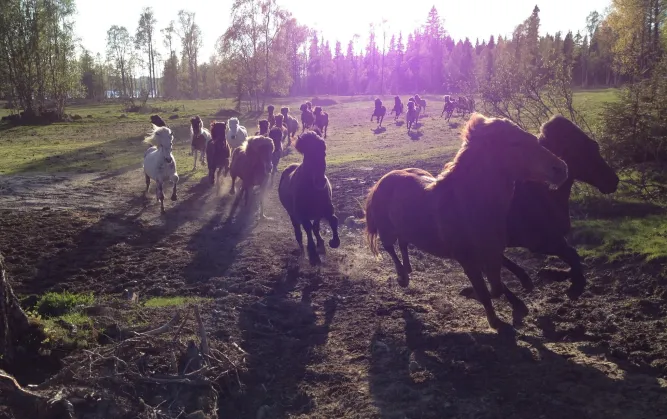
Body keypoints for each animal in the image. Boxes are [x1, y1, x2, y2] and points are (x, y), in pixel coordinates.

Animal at [279, 130, 340, 265]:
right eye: (308, 156)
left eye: (324, 153)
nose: (320, 182)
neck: (312, 190)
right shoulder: (302, 214)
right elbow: (307, 228)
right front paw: (312, 252)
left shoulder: (326, 209)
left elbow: (333, 220)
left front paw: (334, 242)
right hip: (291, 213)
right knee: (298, 228)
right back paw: (301, 244)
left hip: (316, 214)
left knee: (315, 227)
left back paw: (320, 242)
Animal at [364, 113, 568, 331]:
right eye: (515, 143)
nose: (561, 168)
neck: (467, 206)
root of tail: (383, 180)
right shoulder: (468, 260)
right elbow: (487, 291)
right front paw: (491, 316)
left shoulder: (492, 252)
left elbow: (496, 285)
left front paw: (514, 295)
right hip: (387, 230)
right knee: (390, 247)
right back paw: (402, 277)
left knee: (403, 243)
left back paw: (408, 270)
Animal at [497, 115, 619, 299]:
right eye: (587, 149)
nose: (613, 181)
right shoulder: (542, 243)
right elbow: (574, 258)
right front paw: (571, 284)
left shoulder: (556, 241)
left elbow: (575, 260)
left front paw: (551, 273)